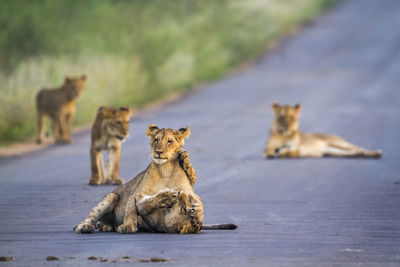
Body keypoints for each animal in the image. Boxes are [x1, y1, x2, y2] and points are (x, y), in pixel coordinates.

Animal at [74, 124, 234, 233]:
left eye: (169, 141)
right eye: (156, 140)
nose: (158, 152)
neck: (165, 171)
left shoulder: (190, 193)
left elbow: (200, 205)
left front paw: (196, 215)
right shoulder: (136, 195)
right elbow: (132, 210)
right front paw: (128, 226)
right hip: (111, 197)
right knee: (91, 217)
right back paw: (85, 226)